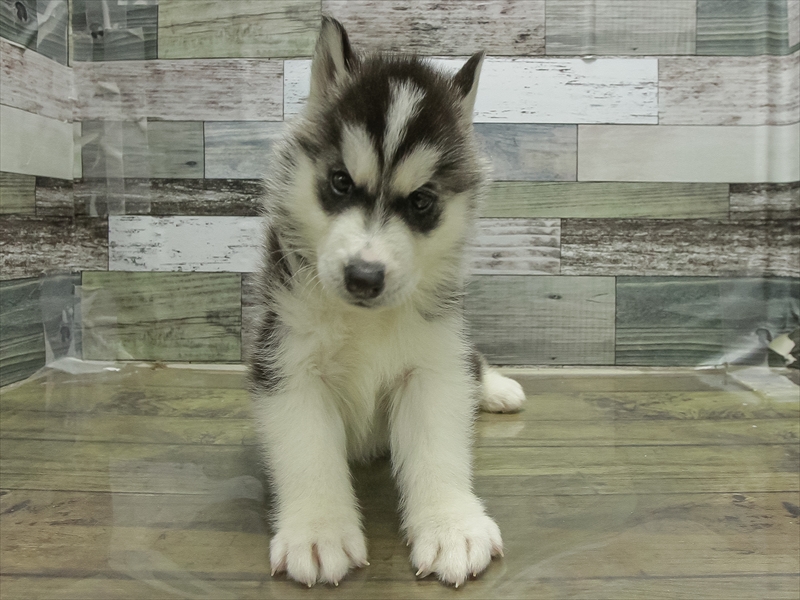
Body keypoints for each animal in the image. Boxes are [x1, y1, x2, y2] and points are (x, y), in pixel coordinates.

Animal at [248, 17, 525, 587]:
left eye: (421, 202)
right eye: (339, 182)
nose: (364, 276)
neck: (362, 322)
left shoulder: (431, 366)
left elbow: (438, 449)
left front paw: (451, 526)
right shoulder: (286, 362)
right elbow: (308, 452)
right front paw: (318, 531)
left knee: (470, 361)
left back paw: (494, 387)